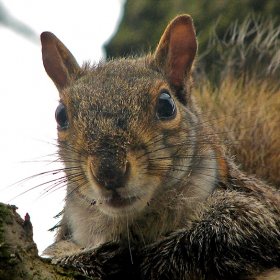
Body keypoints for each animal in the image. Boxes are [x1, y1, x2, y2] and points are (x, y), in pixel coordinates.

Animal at [40, 15, 278, 280]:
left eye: (166, 105)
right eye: (60, 115)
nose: (109, 172)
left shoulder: (261, 211)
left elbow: (232, 227)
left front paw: (151, 260)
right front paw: (93, 259)